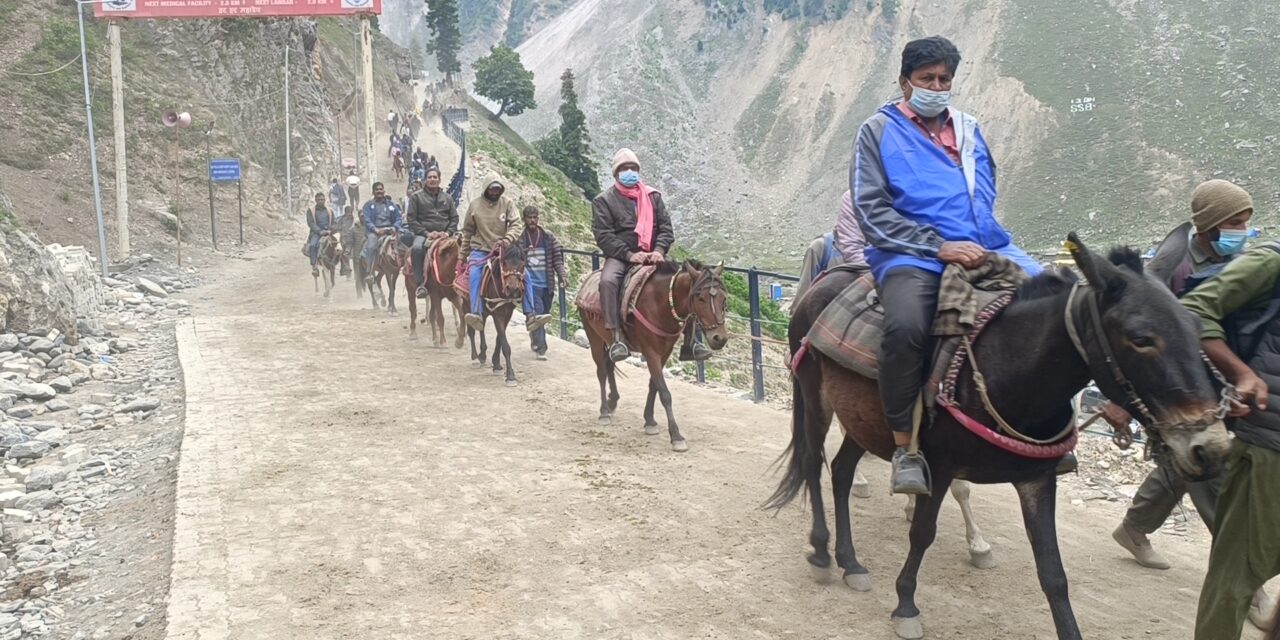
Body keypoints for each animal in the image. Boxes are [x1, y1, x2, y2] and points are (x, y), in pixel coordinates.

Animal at [581, 258, 732, 450]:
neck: (661, 304)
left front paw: (649, 421)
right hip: (594, 336)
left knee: (610, 362)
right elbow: (665, 393)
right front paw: (676, 436)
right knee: (601, 371)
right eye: (700, 298)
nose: (719, 338)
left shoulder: (664, 352)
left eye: (723, 298)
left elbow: (654, 386)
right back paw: (604, 412)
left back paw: (613, 400)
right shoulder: (651, 352)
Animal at [762, 235, 1233, 640]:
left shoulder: (1037, 480)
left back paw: (851, 563)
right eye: (1141, 338)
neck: (1009, 370)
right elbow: (922, 533)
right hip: (815, 399)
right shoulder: (938, 466)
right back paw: (822, 553)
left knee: (841, 472)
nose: (1210, 448)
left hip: (863, 420)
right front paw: (906, 606)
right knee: (812, 463)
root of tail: (823, 284)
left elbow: (1053, 570)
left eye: (1197, 327)